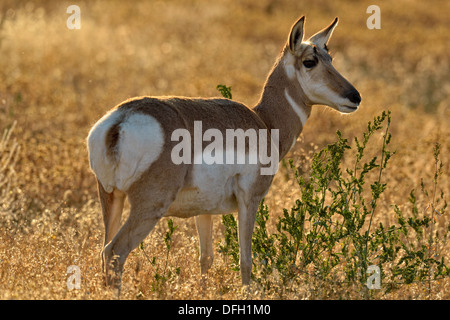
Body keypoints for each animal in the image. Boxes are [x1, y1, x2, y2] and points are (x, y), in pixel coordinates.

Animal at [88, 15, 362, 290]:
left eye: (330, 57)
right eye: (309, 61)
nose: (355, 96)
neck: (264, 122)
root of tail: (120, 120)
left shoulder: (203, 212)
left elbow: (206, 259)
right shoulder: (249, 200)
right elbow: (246, 261)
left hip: (111, 198)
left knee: (103, 253)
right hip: (148, 206)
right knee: (114, 252)